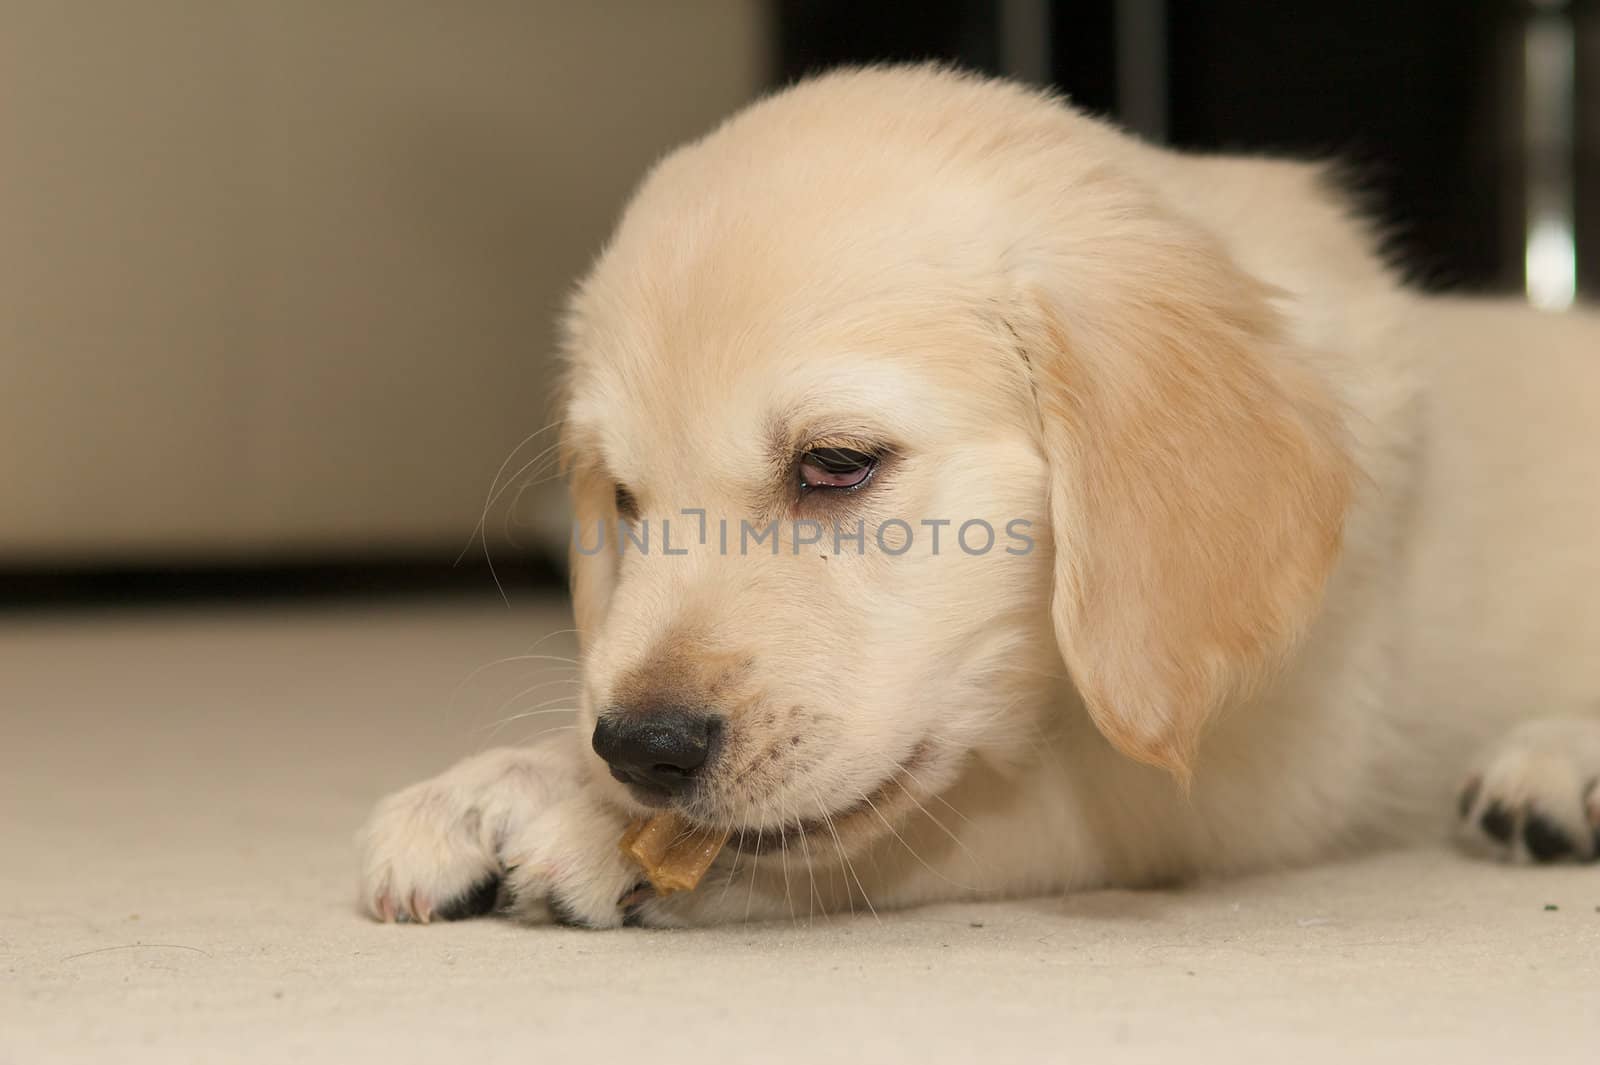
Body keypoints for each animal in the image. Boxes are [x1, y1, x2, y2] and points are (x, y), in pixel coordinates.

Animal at [363, 66, 1600, 927]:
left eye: (837, 463)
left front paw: (581, 816)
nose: (640, 749)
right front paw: (500, 783)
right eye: (624, 498)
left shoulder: (1227, 779)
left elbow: (912, 830)